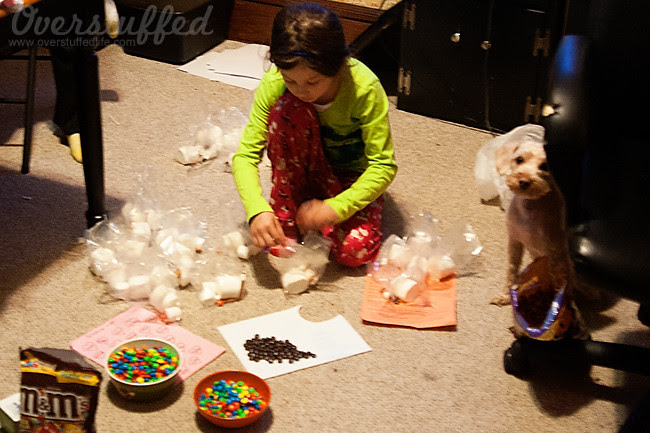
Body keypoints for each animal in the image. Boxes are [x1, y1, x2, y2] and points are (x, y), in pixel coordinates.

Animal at [489, 135, 576, 306]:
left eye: (544, 165)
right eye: (519, 159)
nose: (523, 180)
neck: (530, 205)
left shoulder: (552, 252)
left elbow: (555, 285)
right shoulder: (515, 241)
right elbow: (511, 271)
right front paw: (505, 296)